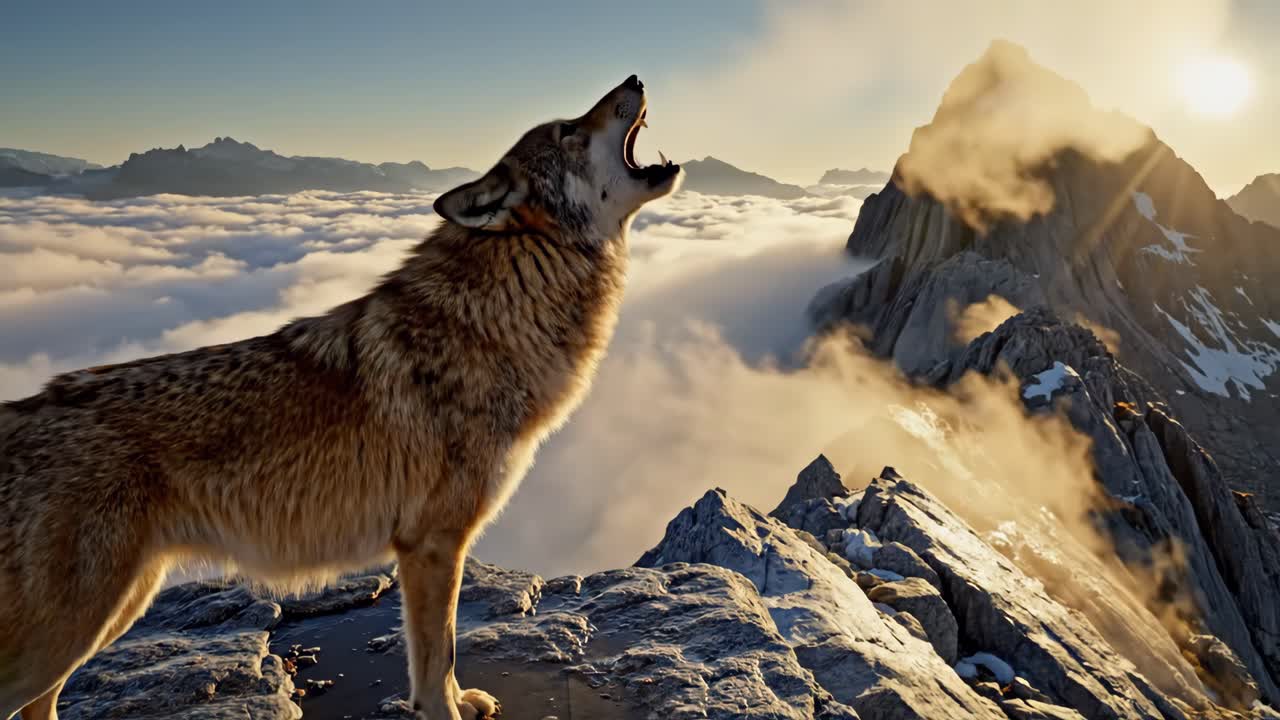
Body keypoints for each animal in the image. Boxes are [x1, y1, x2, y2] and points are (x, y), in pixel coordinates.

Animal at [0, 75, 681, 720]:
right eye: (570, 129)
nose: (635, 78)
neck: (499, 311)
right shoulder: (430, 545)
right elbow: (435, 659)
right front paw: (446, 709)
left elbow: (444, 656)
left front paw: (462, 700)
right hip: (74, 628)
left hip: (116, 609)